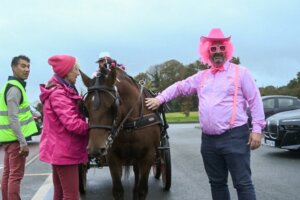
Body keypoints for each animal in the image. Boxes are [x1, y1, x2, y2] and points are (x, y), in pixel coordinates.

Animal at [79, 66, 162, 199]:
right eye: (85, 108)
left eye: (113, 106)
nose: (95, 149)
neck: (130, 124)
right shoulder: (112, 156)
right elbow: (118, 190)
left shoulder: (148, 156)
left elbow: (142, 190)